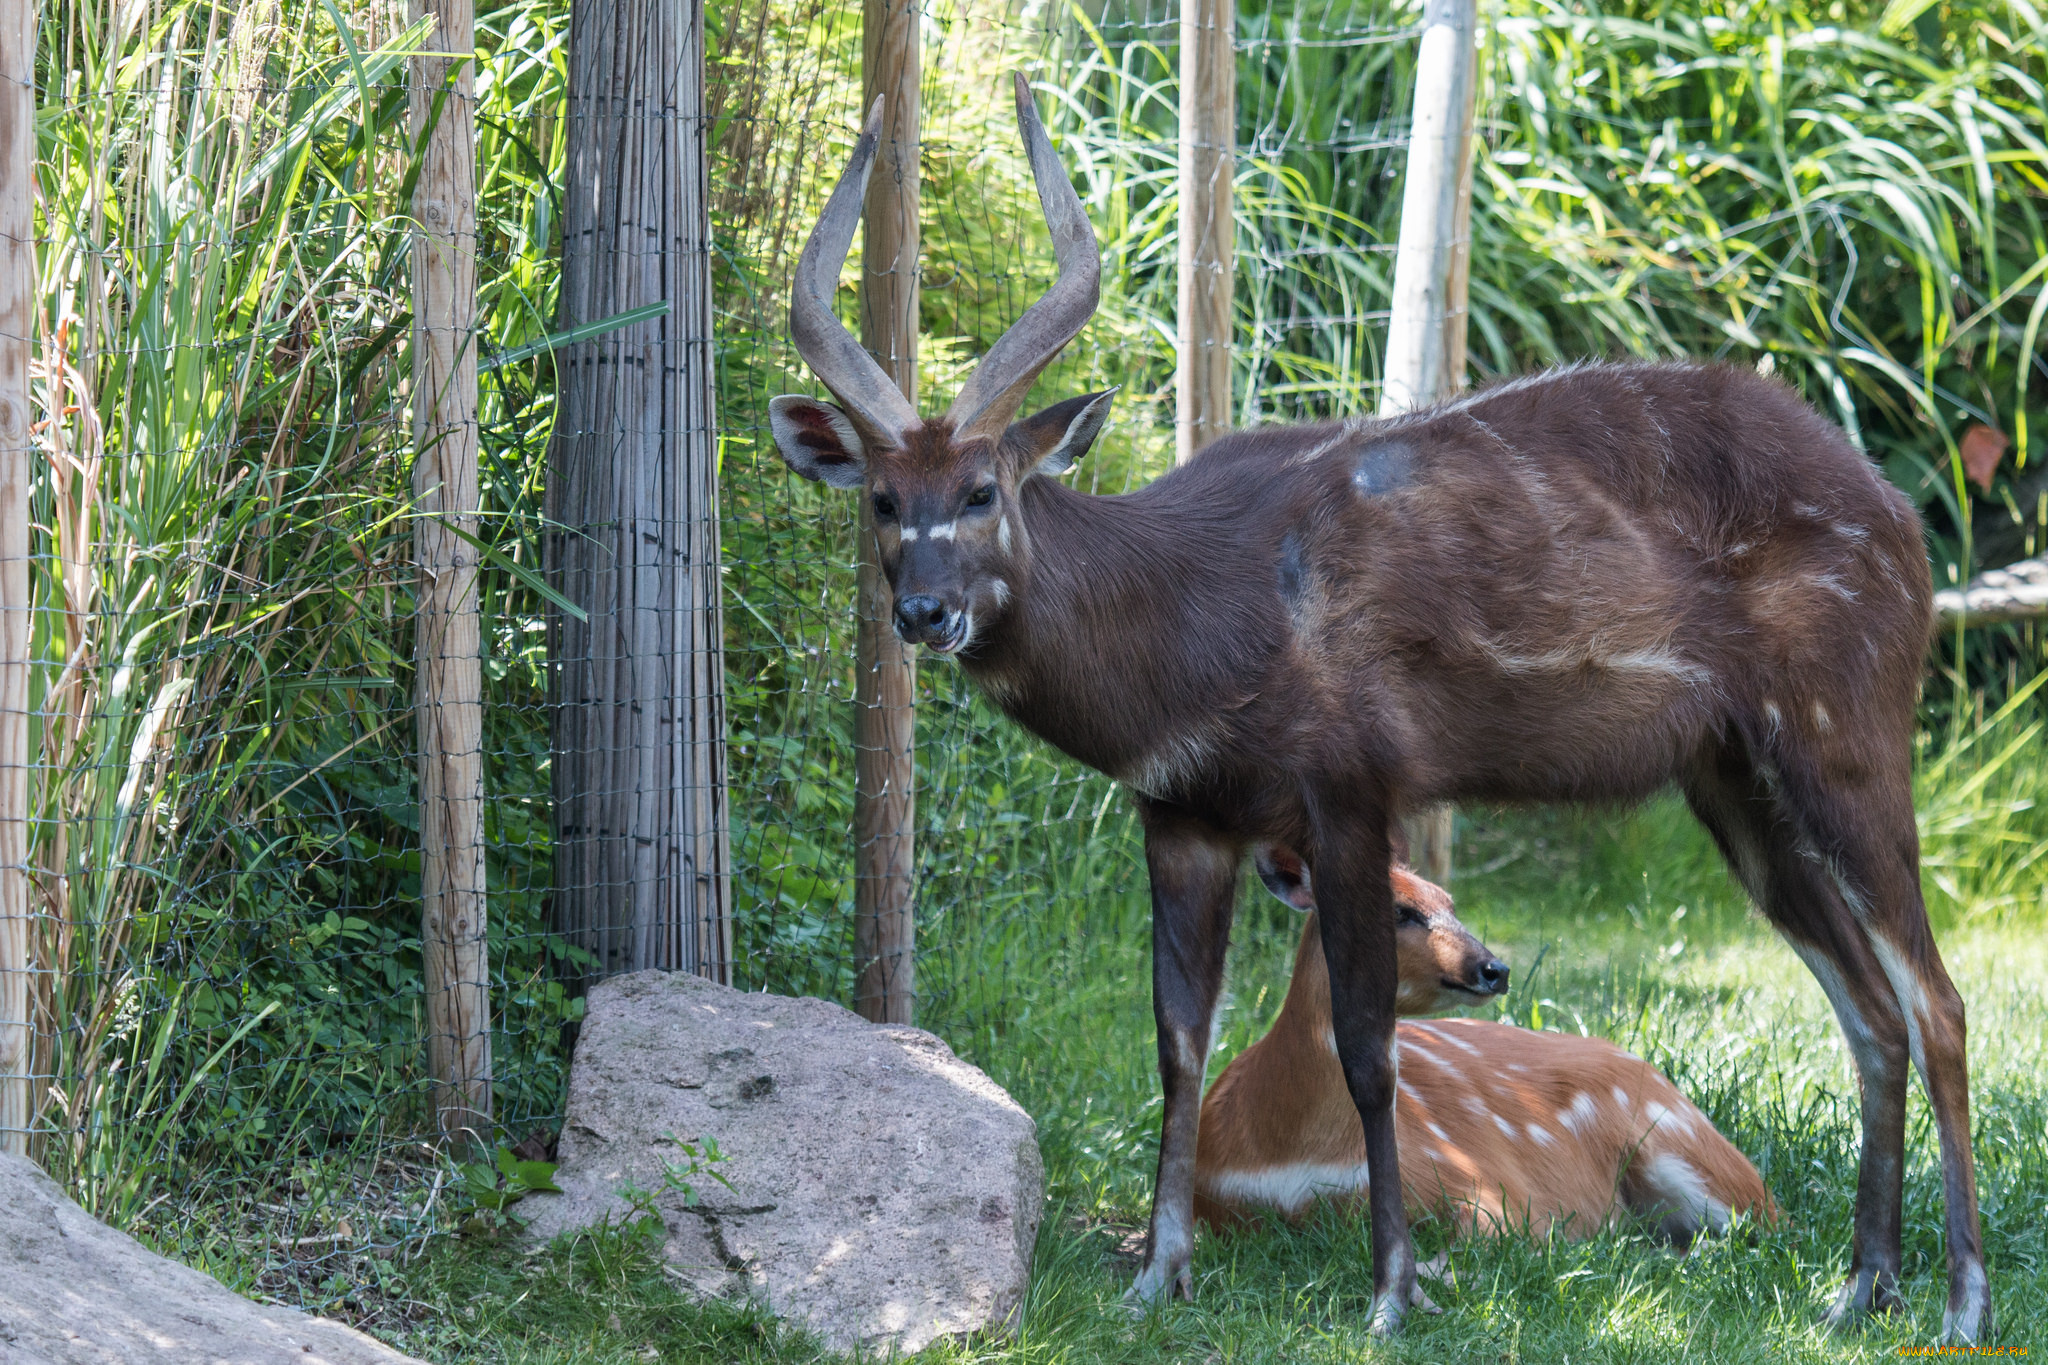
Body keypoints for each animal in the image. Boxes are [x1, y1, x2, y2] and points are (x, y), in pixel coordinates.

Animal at [1196, 855, 1777, 1252]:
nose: (1494, 968)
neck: (1293, 1148)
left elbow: (1484, 1240)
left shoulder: (1475, 1181)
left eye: (1450, 902)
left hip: (1688, 1148)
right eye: (1400, 911)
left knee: (1766, 1224)